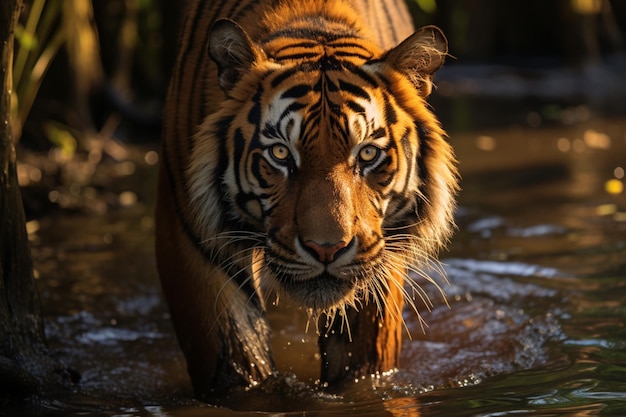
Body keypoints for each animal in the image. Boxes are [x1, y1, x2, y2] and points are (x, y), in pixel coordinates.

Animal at [155, 0, 456, 400]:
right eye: (281, 153)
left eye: (367, 154)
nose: (326, 249)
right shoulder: (194, 244)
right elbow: (236, 360)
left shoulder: (381, 256)